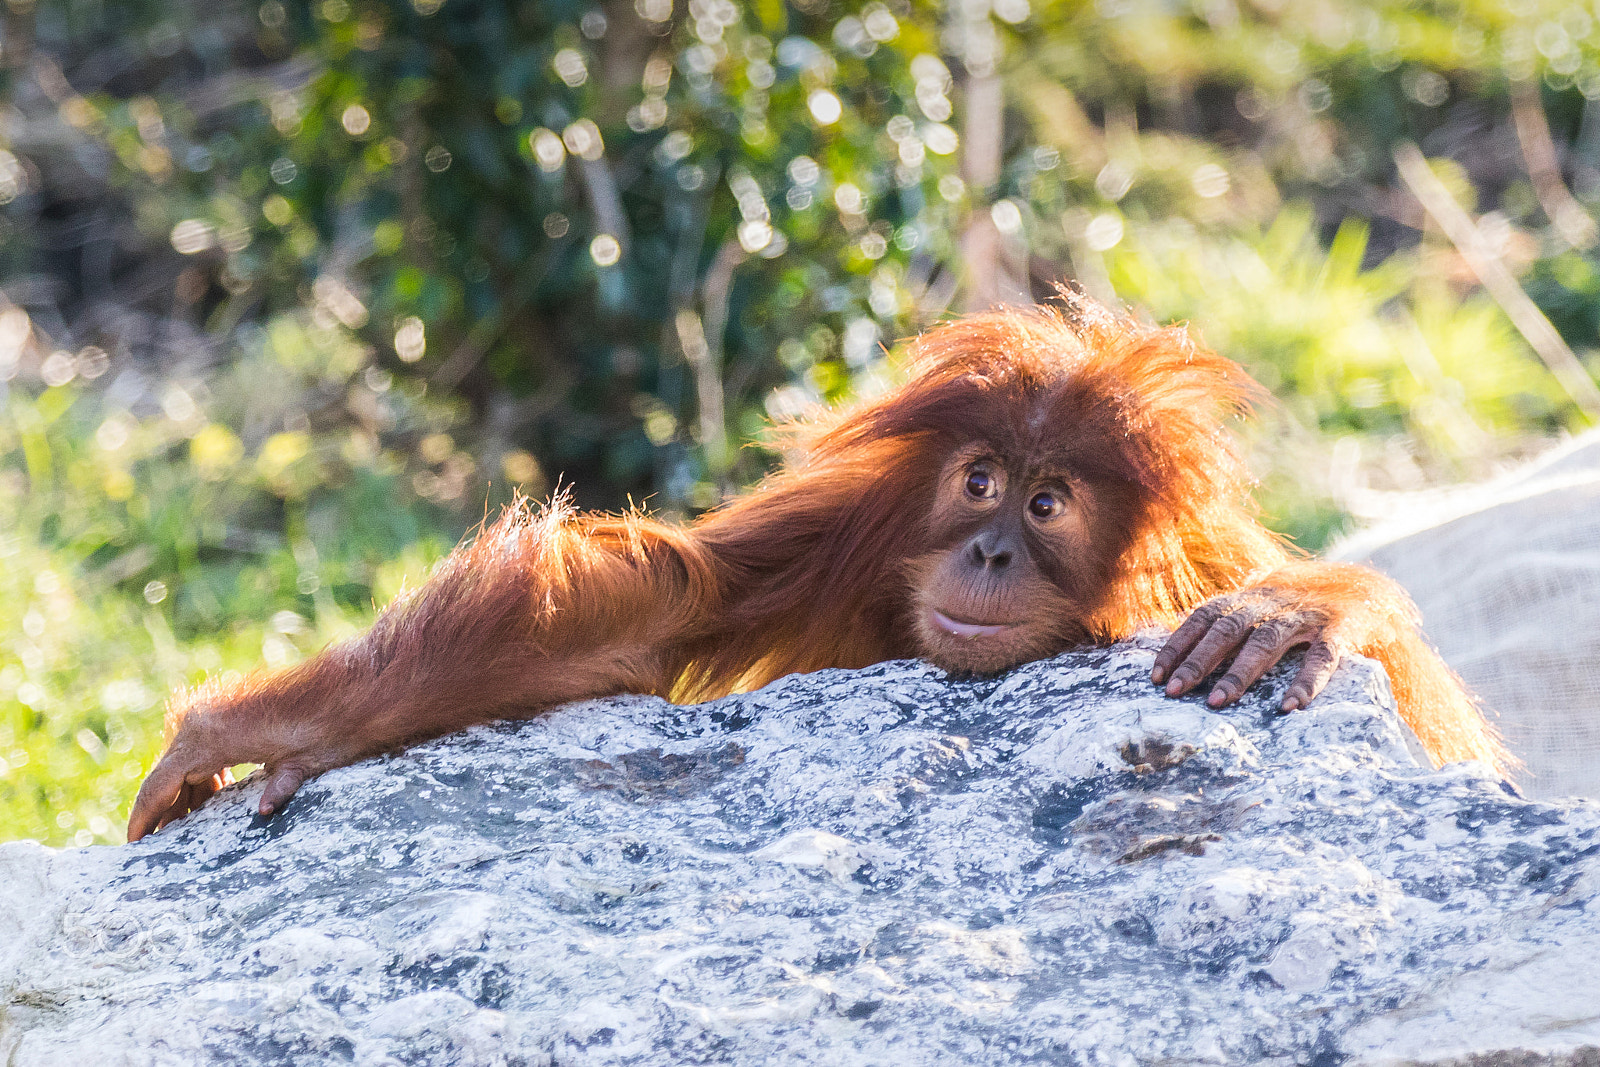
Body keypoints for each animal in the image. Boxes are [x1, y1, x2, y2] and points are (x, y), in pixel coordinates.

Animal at [126, 293, 1506, 841]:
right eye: (979, 481)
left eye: (1048, 502)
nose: (991, 544)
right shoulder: (859, 524)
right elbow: (655, 604)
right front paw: (279, 724)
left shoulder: (1201, 555)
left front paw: (1302, 607)